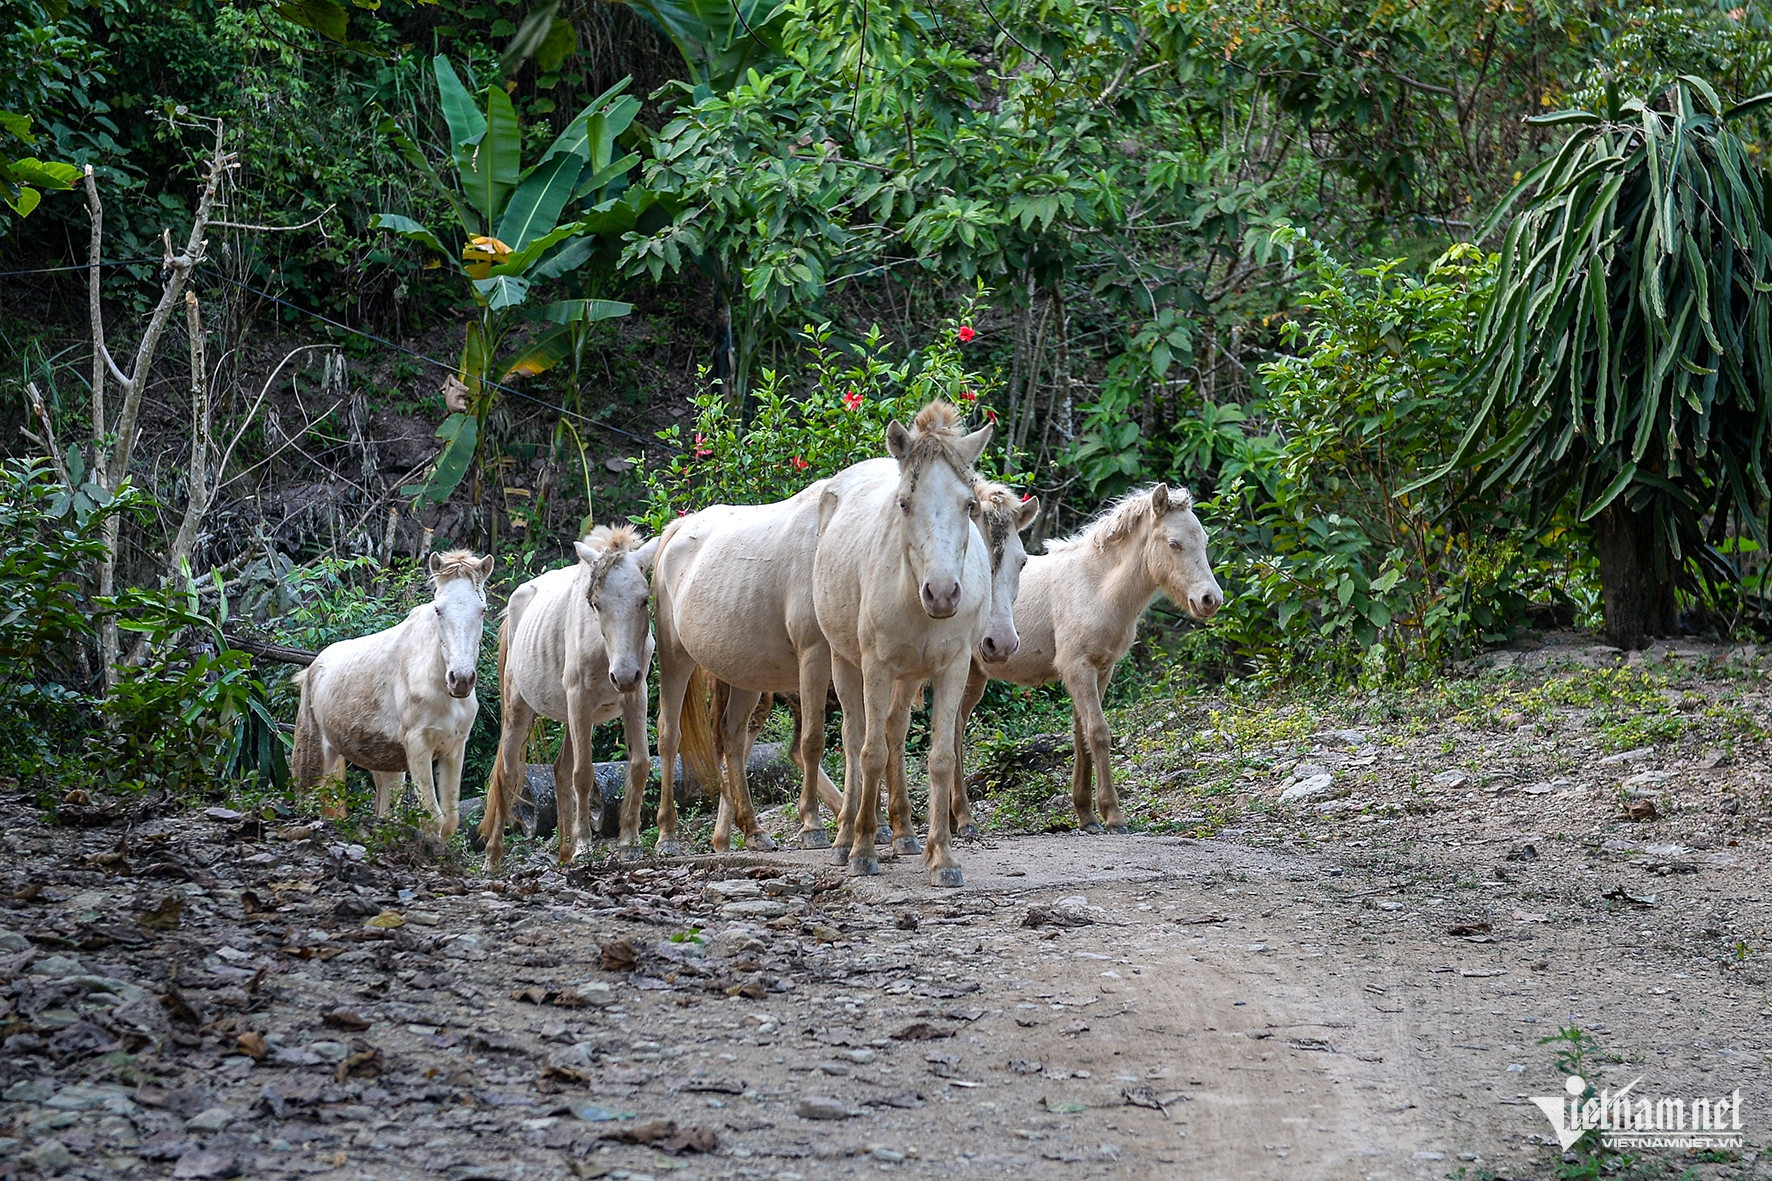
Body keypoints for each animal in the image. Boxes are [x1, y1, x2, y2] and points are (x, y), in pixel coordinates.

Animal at [291, 549, 493, 837]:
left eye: (482, 609)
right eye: (438, 610)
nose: (461, 679)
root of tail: (311, 670)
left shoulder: (454, 748)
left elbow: (450, 822)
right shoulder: (419, 745)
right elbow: (433, 818)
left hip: (386, 766)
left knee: (385, 813)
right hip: (313, 756)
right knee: (304, 801)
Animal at [478, 525, 660, 867]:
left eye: (644, 600)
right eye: (596, 604)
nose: (623, 676)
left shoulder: (636, 696)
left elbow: (640, 764)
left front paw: (630, 841)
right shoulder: (580, 700)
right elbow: (583, 774)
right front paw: (585, 845)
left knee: (560, 768)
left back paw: (564, 850)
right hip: (520, 708)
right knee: (507, 774)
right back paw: (493, 858)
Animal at [813, 402, 994, 887]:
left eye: (969, 504)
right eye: (904, 504)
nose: (943, 593)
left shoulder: (953, 668)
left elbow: (941, 758)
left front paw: (942, 858)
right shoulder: (875, 665)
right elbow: (871, 752)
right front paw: (862, 851)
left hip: (910, 674)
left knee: (894, 731)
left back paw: (904, 834)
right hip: (844, 662)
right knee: (855, 737)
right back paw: (846, 838)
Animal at [953, 484, 1221, 834]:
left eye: (1203, 541)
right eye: (1174, 543)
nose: (1210, 599)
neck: (1096, 588)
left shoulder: (1102, 669)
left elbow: (1082, 735)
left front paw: (1087, 814)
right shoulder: (1077, 667)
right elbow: (1098, 732)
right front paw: (1114, 815)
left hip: (975, 674)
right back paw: (963, 818)